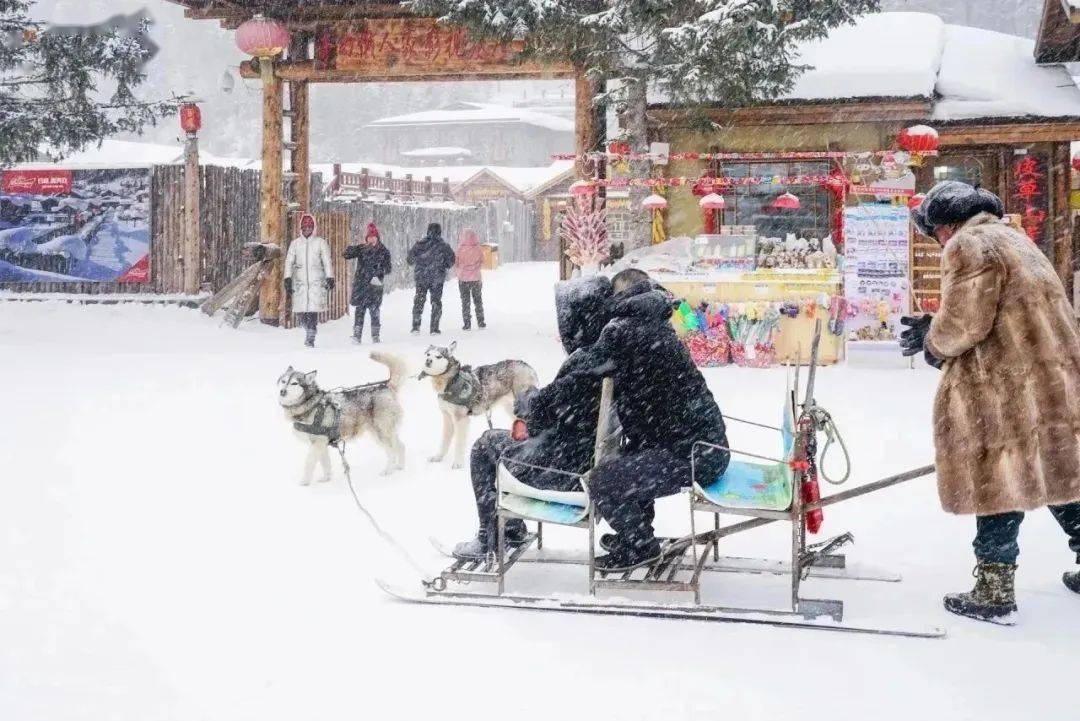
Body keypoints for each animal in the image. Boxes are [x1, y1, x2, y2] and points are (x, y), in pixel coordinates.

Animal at [278, 349, 408, 483]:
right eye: (283, 381)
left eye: (294, 383)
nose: (282, 391)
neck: (311, 403)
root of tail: (385, 386)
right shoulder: (321, 443)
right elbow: (325, 463)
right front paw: (326, 478)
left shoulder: (317, 443)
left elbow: (309, 463)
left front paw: (304, 482)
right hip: (381, 433)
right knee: (401, 446)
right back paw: (400, 466)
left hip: (381, 433)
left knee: (392, 451)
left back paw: (388, 470)